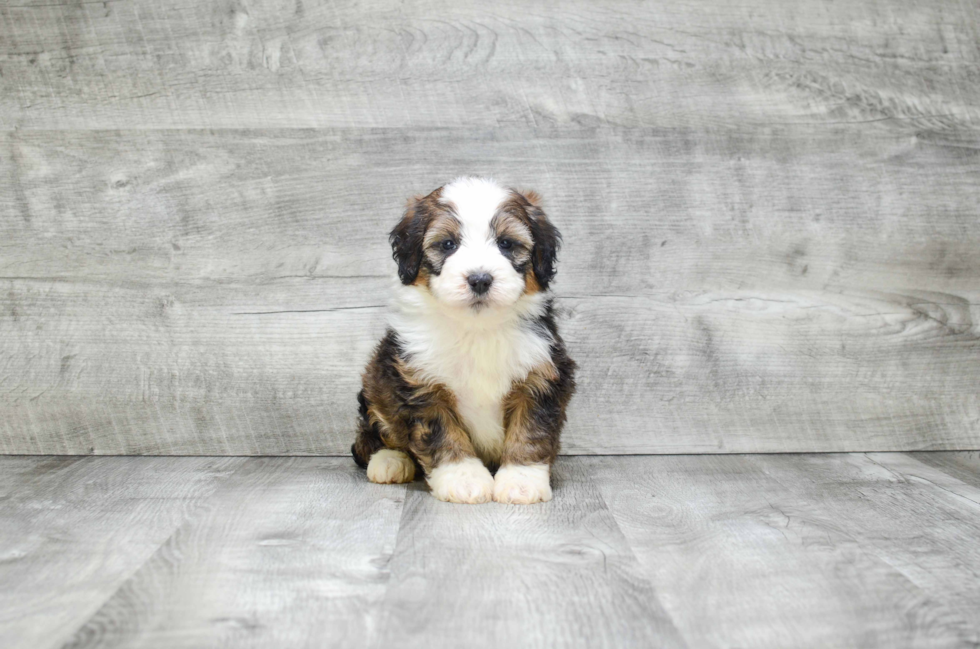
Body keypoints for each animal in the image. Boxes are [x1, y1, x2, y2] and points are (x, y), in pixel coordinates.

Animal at [350, 177, 576, 506]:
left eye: (506, 244)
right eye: (448, 244)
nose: (480, 279)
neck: (476, 328)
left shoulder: (541, 375)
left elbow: (531, 430)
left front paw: (521, 482)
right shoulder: (419, 384)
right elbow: (442, 433)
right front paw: (463, 479)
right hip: (375, 384)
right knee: (373, 434)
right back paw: (389, 461)